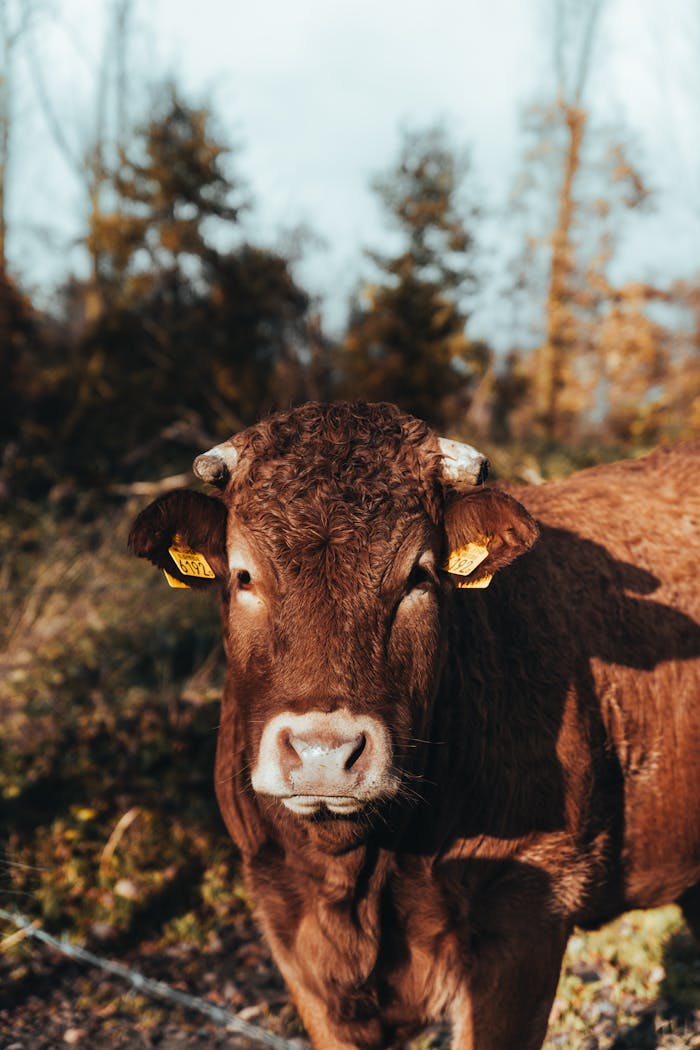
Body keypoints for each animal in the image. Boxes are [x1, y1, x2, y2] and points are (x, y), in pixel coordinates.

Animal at [128, 401, 700, 1050]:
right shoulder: (289, 925)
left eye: (418, 576)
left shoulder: (527, 910)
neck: (357, 873)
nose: (323, 752)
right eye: (244, 575)